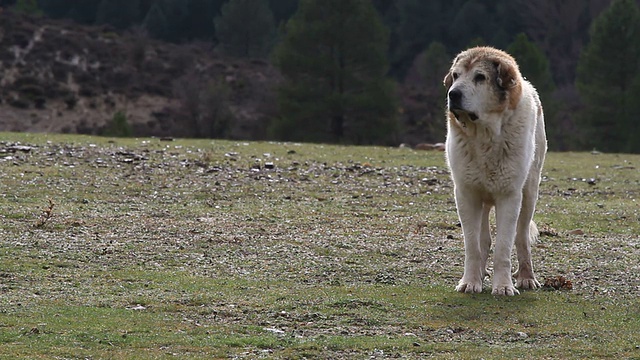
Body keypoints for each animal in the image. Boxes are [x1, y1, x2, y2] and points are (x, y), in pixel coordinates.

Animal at [444, 47, 544, 296]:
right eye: (456, 75)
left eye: (480, 77)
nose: (453, 94)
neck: (485, 136)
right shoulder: (466, 194)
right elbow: (472, 245)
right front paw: (470, 282)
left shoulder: (509, 196)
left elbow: (504, 247)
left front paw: (503, 286)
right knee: (483, 240)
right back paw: (479, 275)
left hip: (529, 193)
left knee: (521, 237)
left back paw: (527, 277)